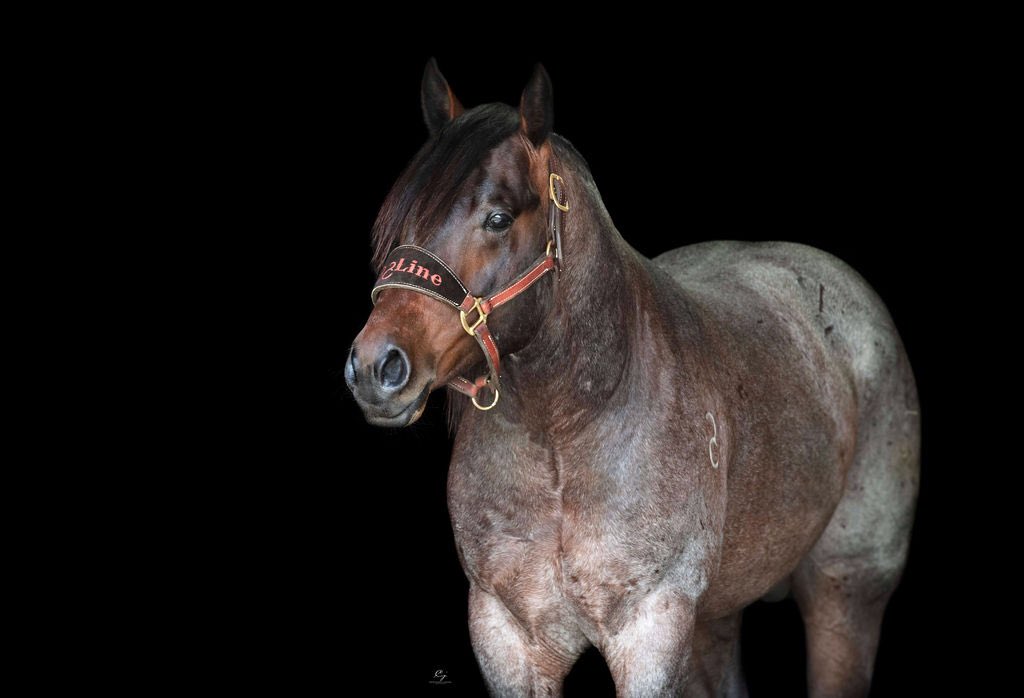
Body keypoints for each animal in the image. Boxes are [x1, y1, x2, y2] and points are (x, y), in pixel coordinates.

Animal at [345, 59, 919, 697]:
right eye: (403, 223)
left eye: (497, 217)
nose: (376, 366)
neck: (565, 433)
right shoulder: (507, 637)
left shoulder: (651, 631)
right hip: (714, 616)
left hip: (847, 591)